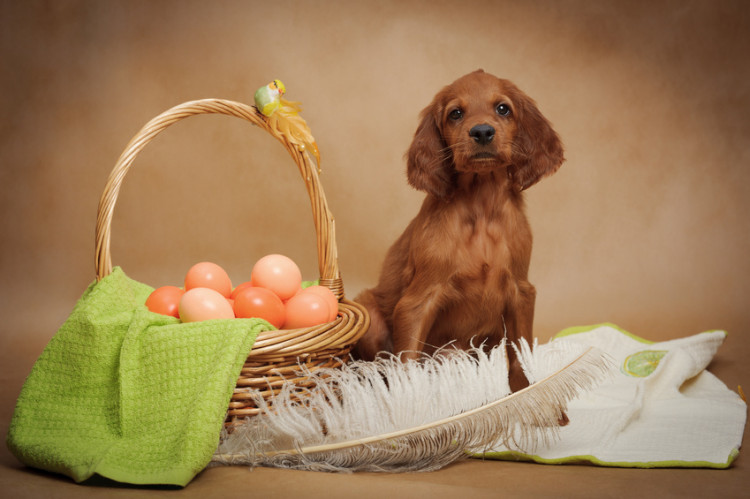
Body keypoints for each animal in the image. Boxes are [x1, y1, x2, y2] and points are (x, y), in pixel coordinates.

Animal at [356, 70, 568, 390]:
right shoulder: (417, 303)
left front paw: (527, 394)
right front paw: (409, 400)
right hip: (369, 313)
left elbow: (519, 356)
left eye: (503, 109)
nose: (482, 132)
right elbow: (407, 362)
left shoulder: (521, 292)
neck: (481, 207)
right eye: (455, 113)